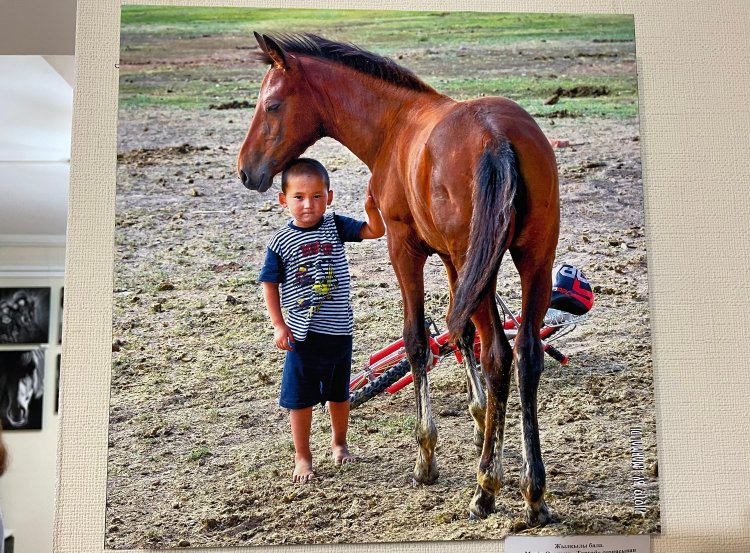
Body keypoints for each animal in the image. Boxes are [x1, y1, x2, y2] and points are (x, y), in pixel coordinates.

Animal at [238, 32, 560, 524]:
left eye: (271, 105)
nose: (245, 170)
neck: (395, 124)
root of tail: (498, 138)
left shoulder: (405, 249)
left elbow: (417, 341)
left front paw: (427, 458)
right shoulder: (452, 262)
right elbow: (459, 333)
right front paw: (480, 419)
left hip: (483, 266)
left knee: (499, 355)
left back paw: (485, 489)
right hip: (534, 260)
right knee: (526, 354)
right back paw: (533, 491)